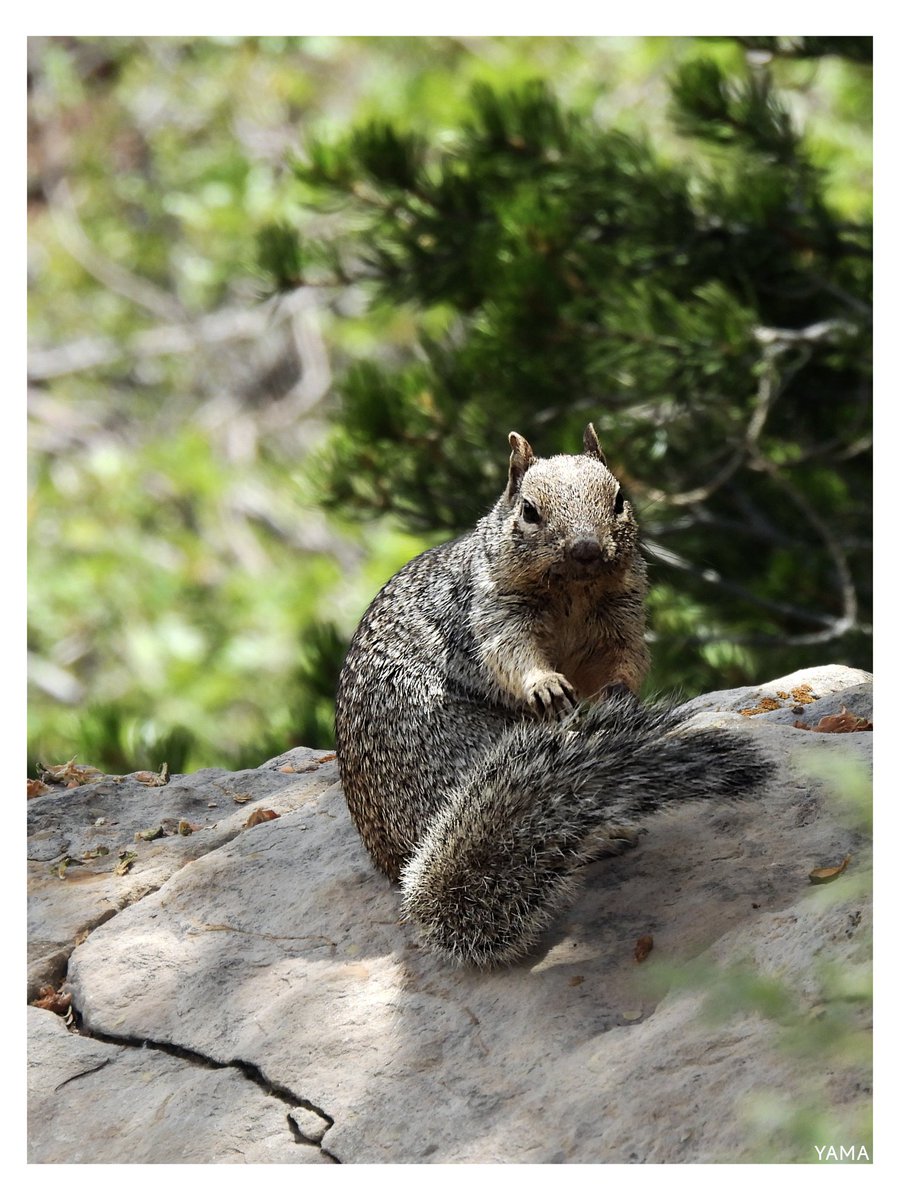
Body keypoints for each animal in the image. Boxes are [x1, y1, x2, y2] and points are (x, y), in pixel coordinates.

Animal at [335, 424, 771, 968]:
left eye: (620, 499)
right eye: (528, 510)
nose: (586, 548)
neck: (573, 595)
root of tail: (402, 865)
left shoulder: (621, 619)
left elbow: (625, 661)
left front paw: (618, 690)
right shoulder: (493, 610)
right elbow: (511, 653)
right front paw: (544, 684)